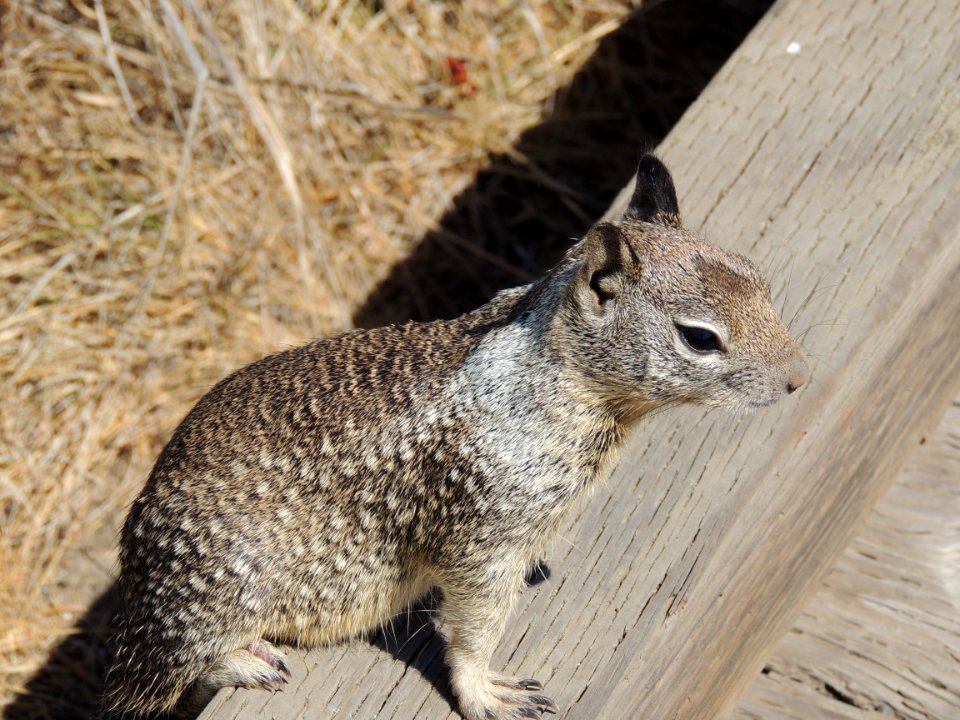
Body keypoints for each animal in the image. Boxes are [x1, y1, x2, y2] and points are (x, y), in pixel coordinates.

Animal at [101, 158, 808, 720]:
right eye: (699, 337)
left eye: (760, 279)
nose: (799, 378)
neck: (554, 376)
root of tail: (135, 586)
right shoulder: (484, 535)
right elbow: (472, 628)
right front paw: (484, 691)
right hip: (214, 597)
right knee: (171, 671)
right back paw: (243, 661)